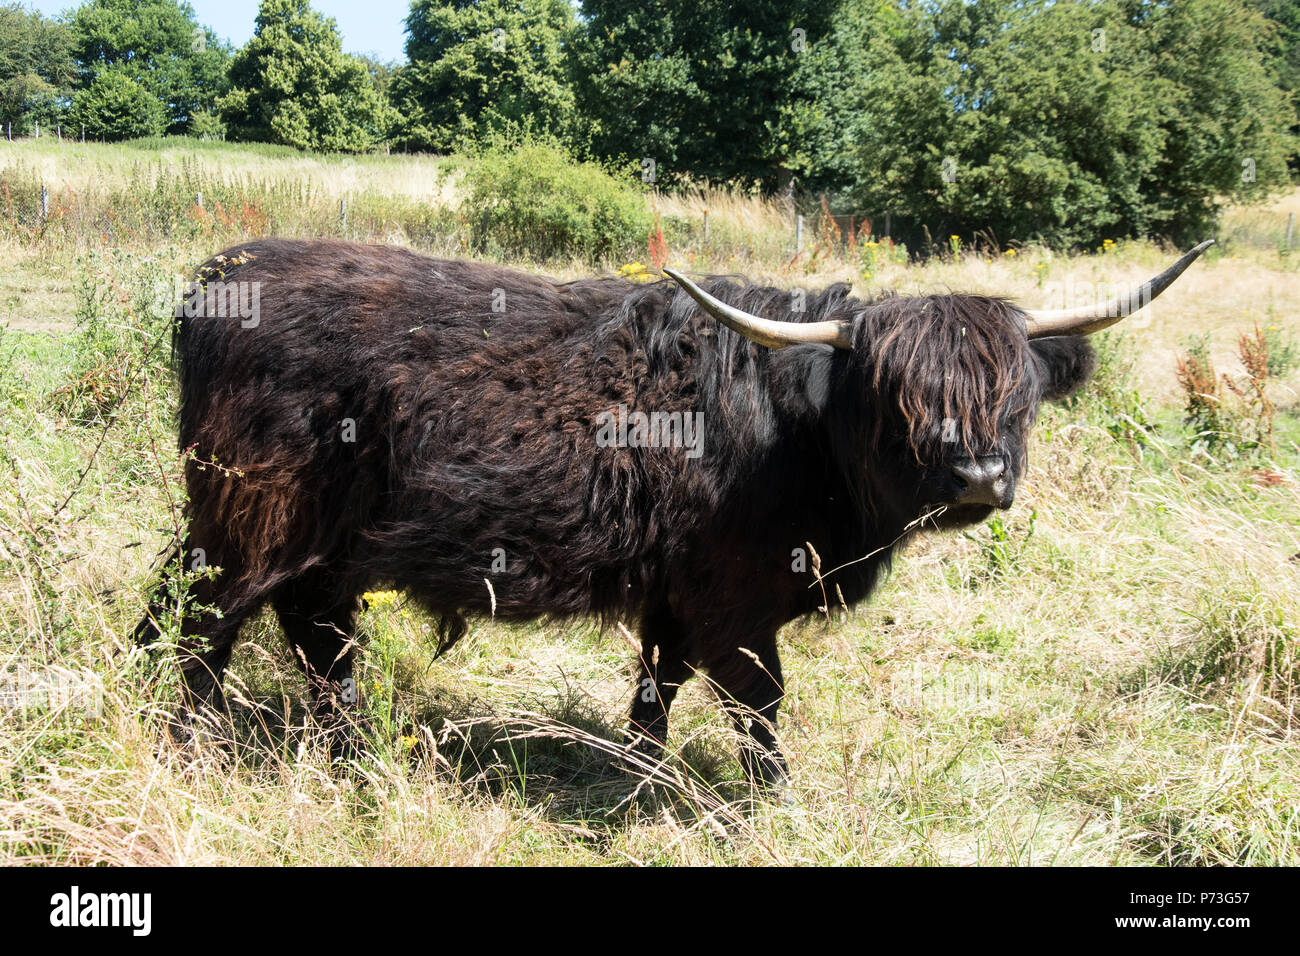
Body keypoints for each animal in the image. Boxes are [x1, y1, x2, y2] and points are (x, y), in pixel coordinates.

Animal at [135, 237, 1213, 786]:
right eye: (897, 395)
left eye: (1013, 396)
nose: (980, 476)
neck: (800, 436)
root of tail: (225, 275)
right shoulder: (734, 598)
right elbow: (758, 703)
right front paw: (766, 802)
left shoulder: (676, 591)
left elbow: (657, 689)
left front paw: (640, 776)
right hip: (248, 515)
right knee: (196, 622)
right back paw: (186, 744)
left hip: (314, 539)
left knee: (309, 630)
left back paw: (355, 754)